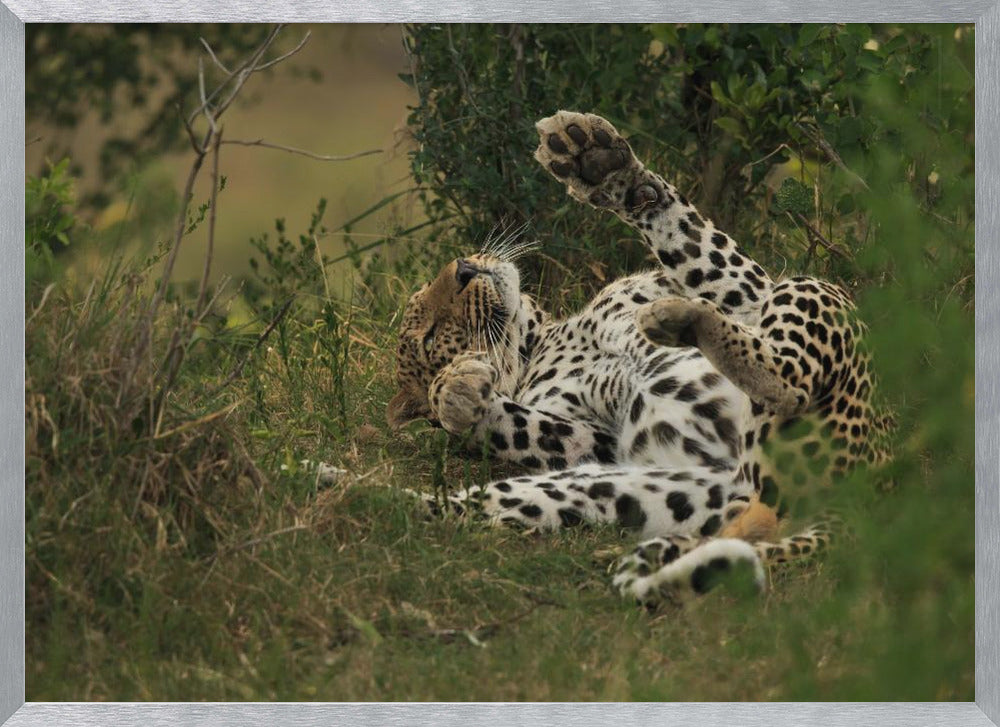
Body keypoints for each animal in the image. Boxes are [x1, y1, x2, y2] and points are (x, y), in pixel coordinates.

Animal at [382, 111, 892, 604]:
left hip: (811, 294)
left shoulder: (750, 295)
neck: (545, 337)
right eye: (430, 336)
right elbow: (527, 424)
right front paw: (456, 392)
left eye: (439, 280)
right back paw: (373, 496)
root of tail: (867, 495)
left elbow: (692, 240)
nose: (465, 269)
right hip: (627, 486)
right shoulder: (595, 441)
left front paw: (593, 158)